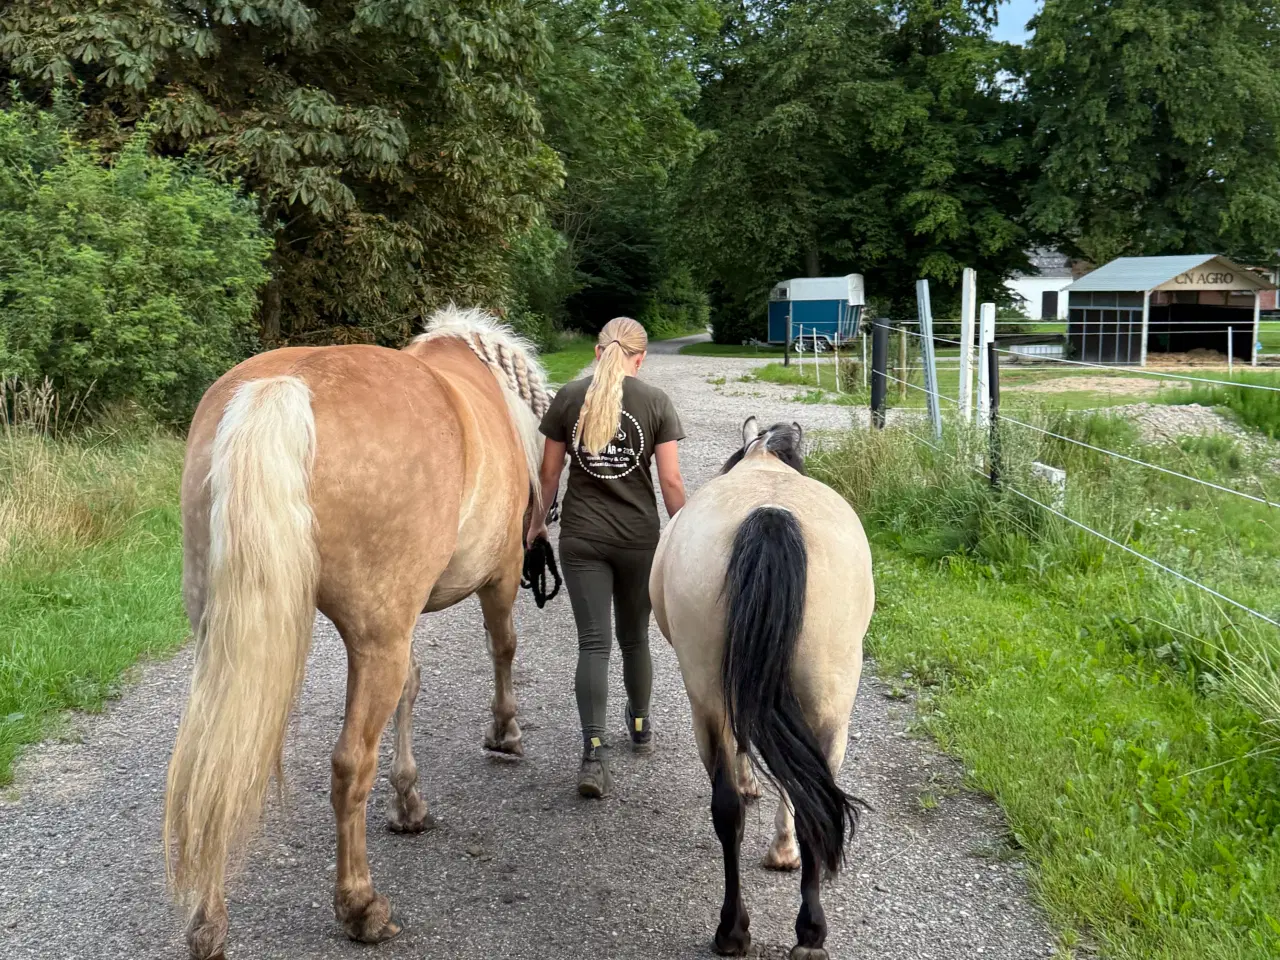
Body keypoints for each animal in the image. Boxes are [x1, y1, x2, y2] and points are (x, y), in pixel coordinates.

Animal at [163, 306, 549, 960]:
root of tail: (287, 385)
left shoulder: (402, 624)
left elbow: (412, 688)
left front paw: (409, 802)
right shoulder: (497, 578)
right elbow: (503, 648)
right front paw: (504, 732)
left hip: (224, 635)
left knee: (210, 771)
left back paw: (207, 924)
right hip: (375, 640)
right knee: (349, 766)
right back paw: (361, 907)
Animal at [649, 418, 874, 960]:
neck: (764, 464)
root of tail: (771, 515)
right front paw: (781, 848)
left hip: (712, 702)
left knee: (735, 808)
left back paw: (739, 929)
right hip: (828, 712)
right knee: (805, 802)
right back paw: (800, 931)